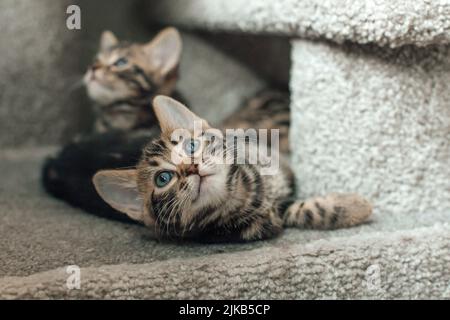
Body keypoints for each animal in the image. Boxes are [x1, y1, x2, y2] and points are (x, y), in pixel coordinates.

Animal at [94, 96, 372, 241]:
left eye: (191, 145)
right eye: (163, 178)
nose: (192, 167)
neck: (241, 193)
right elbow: (302, 211)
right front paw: (357, 207)